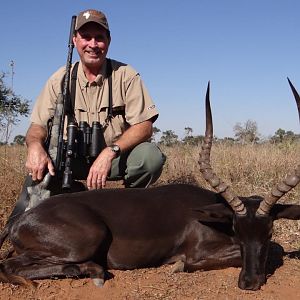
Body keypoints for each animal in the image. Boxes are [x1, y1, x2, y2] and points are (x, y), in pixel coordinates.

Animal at [0, 78, 300, 290]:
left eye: (269, 231)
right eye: (238, 229)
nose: (249, 283)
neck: (214, 214)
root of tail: (19, 221)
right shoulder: (198, 251)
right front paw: (178, 266)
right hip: (85, 239)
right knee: (7, 265)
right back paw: (93, 273)